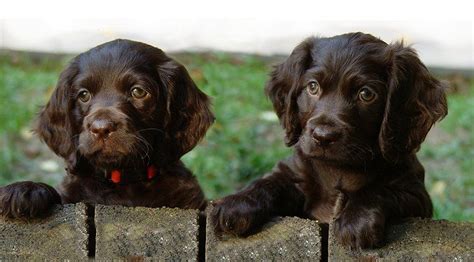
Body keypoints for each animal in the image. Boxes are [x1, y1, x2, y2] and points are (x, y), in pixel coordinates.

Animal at [212, 32, 448, 250]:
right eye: (313, 87)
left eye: (366, 94)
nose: (323, 136)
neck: (338, 169)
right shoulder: (293, 175)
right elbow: (268, 183)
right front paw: (236, 203)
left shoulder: (416, 194)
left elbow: (379, 190)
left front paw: (355, 221)